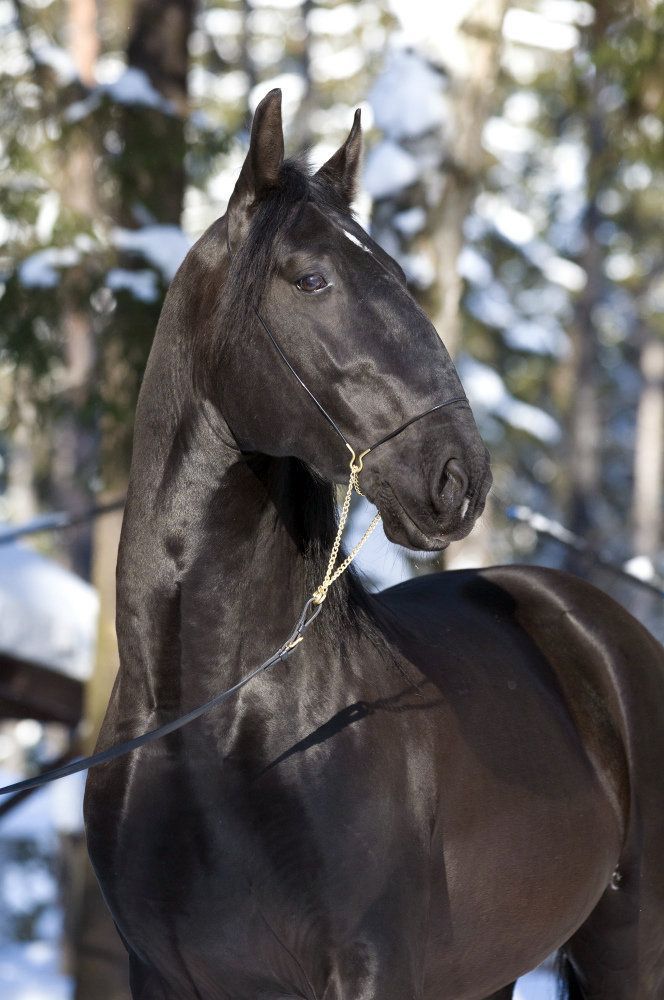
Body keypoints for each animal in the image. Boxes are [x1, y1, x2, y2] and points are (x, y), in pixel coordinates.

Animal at [85, 90, 664, 996]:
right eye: (310, 279)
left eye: (395, 272)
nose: (459, 476)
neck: (204, 727)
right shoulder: (160, 975)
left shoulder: (372, 968)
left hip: (630, 945)